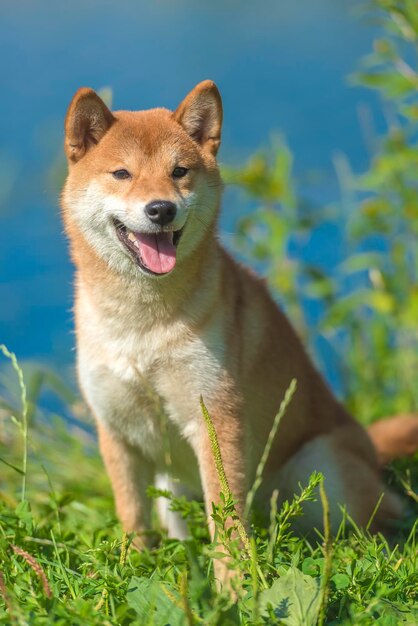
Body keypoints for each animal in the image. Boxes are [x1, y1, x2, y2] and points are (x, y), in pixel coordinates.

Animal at [62, 80, 418, 576]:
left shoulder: (216, 418)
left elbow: (227, 522)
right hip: (176, 486)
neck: (141, 326)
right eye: (121, 173)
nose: (161, 209)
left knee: (384, 516)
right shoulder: (116, 429)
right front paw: (132, 569)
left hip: (318, 472)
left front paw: (234, 584)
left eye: (179, 171)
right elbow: (132, 517)